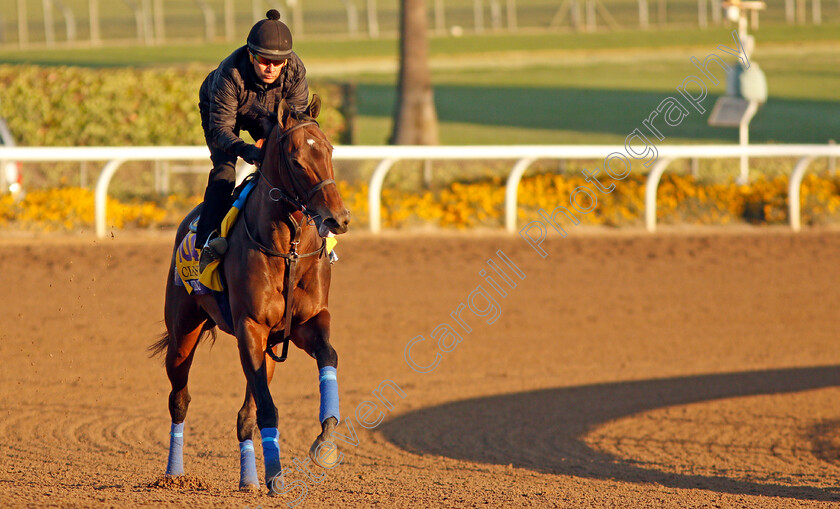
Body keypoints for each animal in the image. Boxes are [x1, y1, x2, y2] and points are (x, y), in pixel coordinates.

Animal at [149, 95, 350, 492]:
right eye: (296, 159)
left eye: (330, 149)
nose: (338, 218)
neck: (288, 249)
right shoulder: (250, 326)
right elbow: (268, 408)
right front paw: (276, 475)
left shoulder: (307, 322)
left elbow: (329, 357)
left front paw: (326, 441)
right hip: (183, 333)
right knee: (179, 399)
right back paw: (174, 474)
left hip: (268, 347)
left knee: (245, 414)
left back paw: (248, 480)